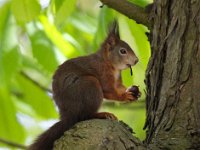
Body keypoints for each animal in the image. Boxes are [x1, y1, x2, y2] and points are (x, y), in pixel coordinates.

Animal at [29, 21, 139, 150]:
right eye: (123, 51)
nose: (136, 60)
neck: (109, 63)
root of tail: (68, 115)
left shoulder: (117, 81)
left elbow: (119, 87)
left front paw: (134, 92)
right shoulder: (103, 73)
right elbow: (109, 91)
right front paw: (125, 96)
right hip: (90, 84)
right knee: (85, 115)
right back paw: (102, 114)